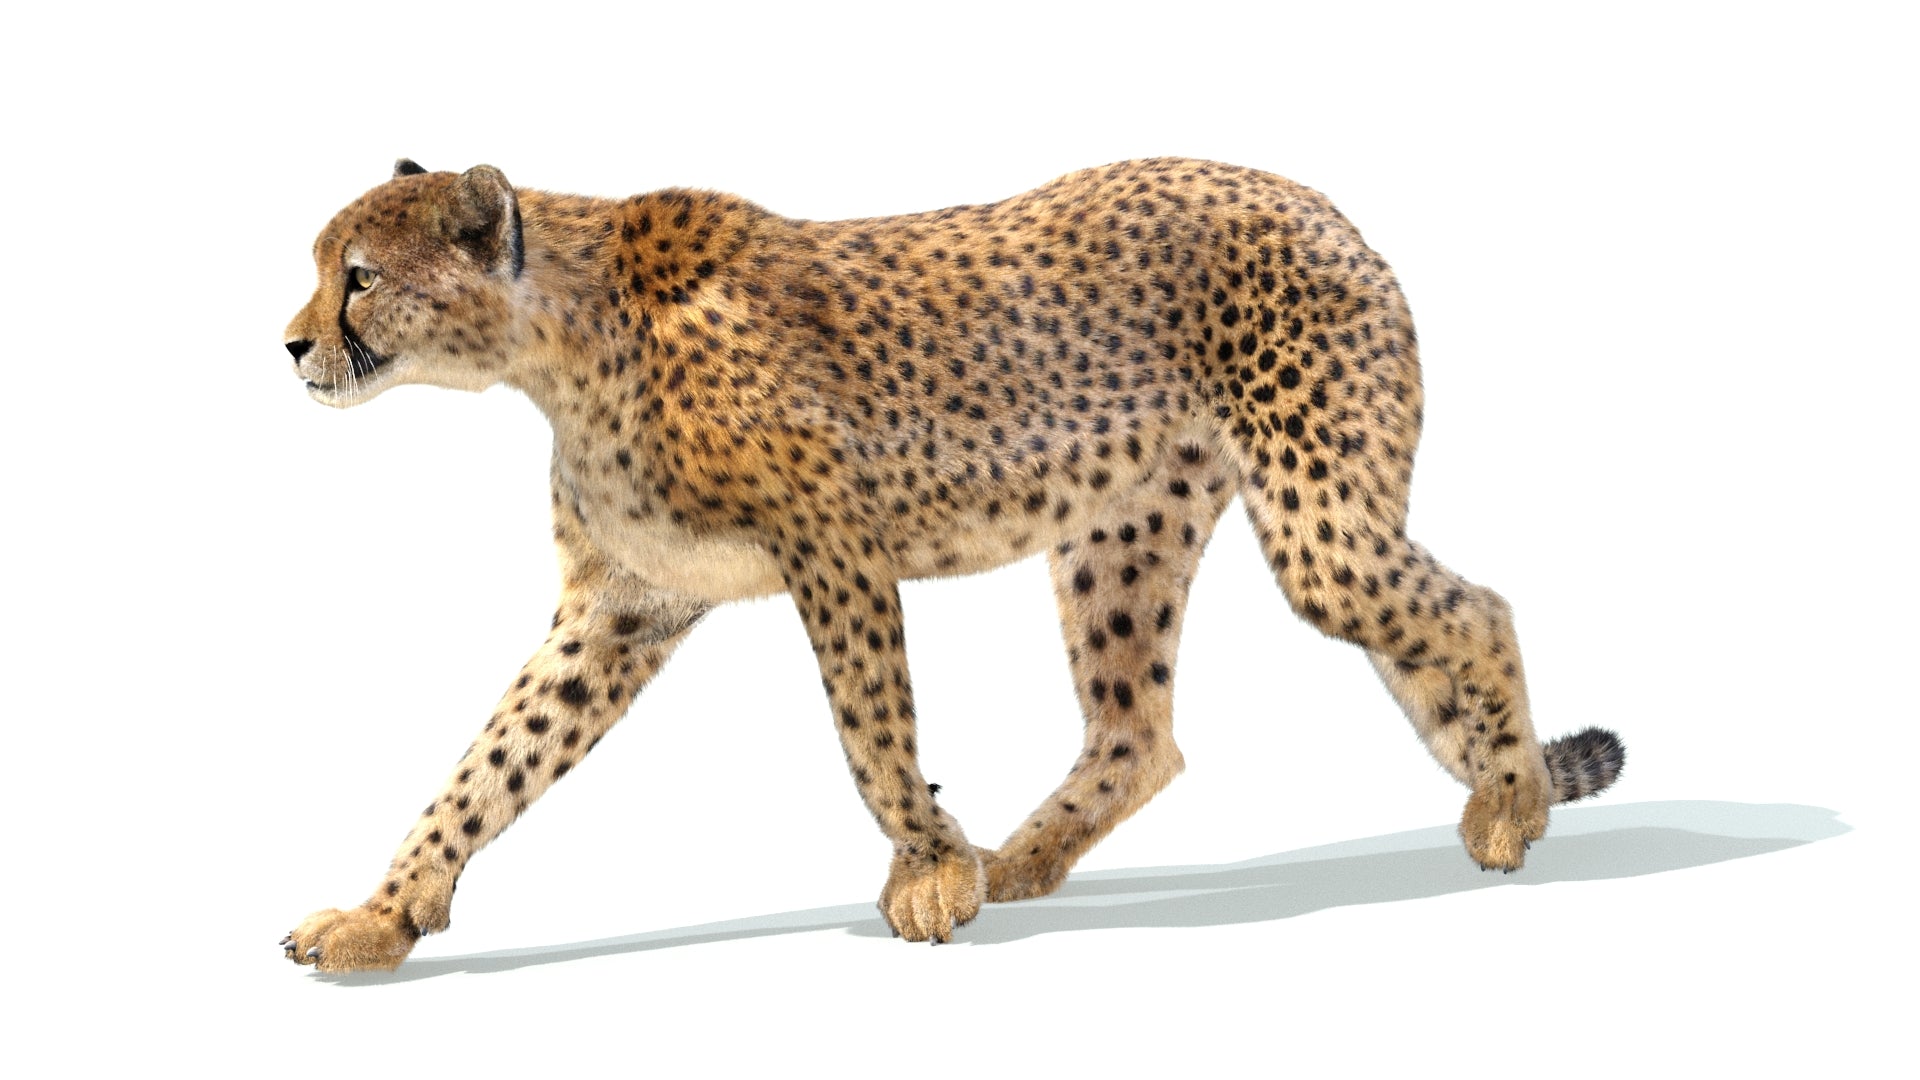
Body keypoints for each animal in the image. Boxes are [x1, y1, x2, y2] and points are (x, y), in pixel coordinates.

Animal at [280, 158, 1624, 972]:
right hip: (1121, 537)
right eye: (324, 268)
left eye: (362, 278)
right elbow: (487, 766)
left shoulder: (833, 548)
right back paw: (1020, 859)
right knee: (1141, 731)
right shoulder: (622, 610)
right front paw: (383, 915)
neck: (552, 346)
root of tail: (1316, 201)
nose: (291, 345)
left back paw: (1512, 801)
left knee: (1476, 608)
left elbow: (873, 728)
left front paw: (926, 870)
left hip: (1316, 521)